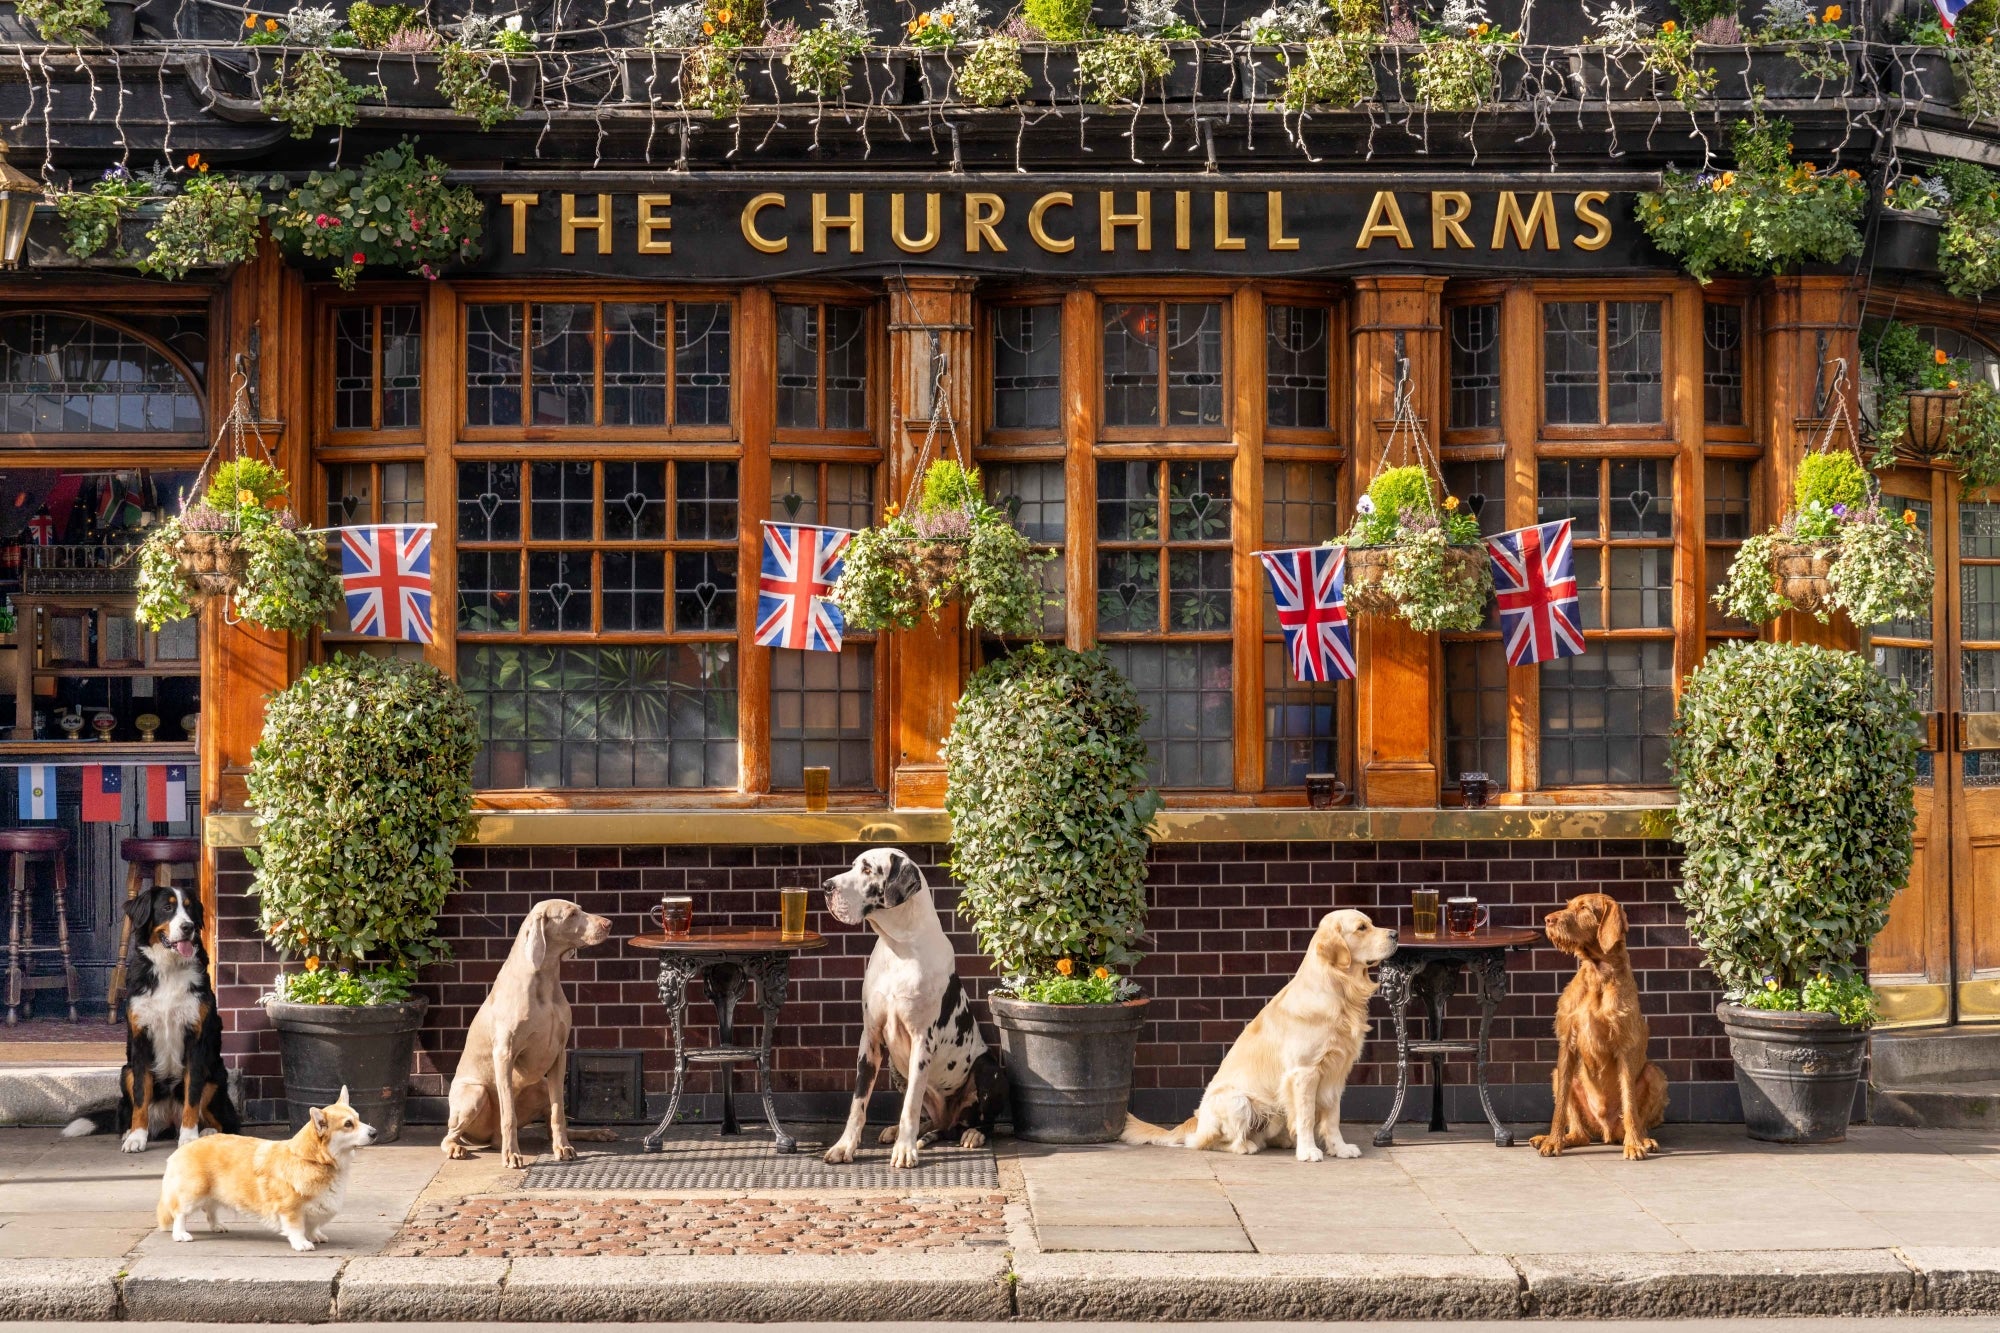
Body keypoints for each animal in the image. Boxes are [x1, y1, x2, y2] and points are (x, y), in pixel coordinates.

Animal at [62, 876, 236, 1144]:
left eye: (190, 909)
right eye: (167, 907)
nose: (188, 927)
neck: (168, 968)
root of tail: (170, 1119)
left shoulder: (195, 1041)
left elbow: (192, 1096)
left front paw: (189, 1137)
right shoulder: (141, 1040)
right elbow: (141, 1097)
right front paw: (137, 1137)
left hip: (215, 1075)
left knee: (225, 1121)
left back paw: (206, 1133)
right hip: (126, 1072)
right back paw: (129, 1132)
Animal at [816, 844, 1000, 1160]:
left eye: (867, 869)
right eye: (852, 866)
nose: (827, 887)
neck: (899, 949)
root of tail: (948, 1122)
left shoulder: (921, 1041)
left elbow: (910, 1105)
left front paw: (905, 1150)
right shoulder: (870, 1039)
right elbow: (858, 1103)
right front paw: (844, 1145)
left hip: (989, 1069)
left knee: (980, 1121)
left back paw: (972, 1134)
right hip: (894, 1067)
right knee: (931, 1121)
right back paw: (904, 1132)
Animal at [1536, 888, 1664, 1160]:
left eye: (1584, 908)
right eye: (1568, 905)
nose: (1548, 919)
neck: (1598, 973)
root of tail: (1604, 1131)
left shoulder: (1624, 1046)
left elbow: (1629, 1101)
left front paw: (1634, 1145)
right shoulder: (1567, 1043)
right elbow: (1560, 1104)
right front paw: (1552, 1141)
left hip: (1655, 1074)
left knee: (1633, 1119)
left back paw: (1642, 1139)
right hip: (1559, 1077)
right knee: (1580, 1135)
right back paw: (1557, 1138)